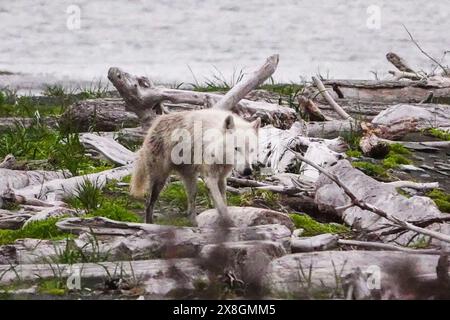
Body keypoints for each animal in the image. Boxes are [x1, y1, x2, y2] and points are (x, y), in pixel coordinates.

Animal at [128, 110, 260, 225]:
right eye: (236, 148)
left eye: (252, 150)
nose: (248, 171)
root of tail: (156, 123)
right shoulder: (210, 178)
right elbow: (222, 206)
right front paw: (228, 223)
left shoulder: (222, 179)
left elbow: (223, 203)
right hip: (160, 179)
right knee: (149, 203)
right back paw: (149, 223)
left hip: (191, 179)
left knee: (191, 203)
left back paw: (194, 223)